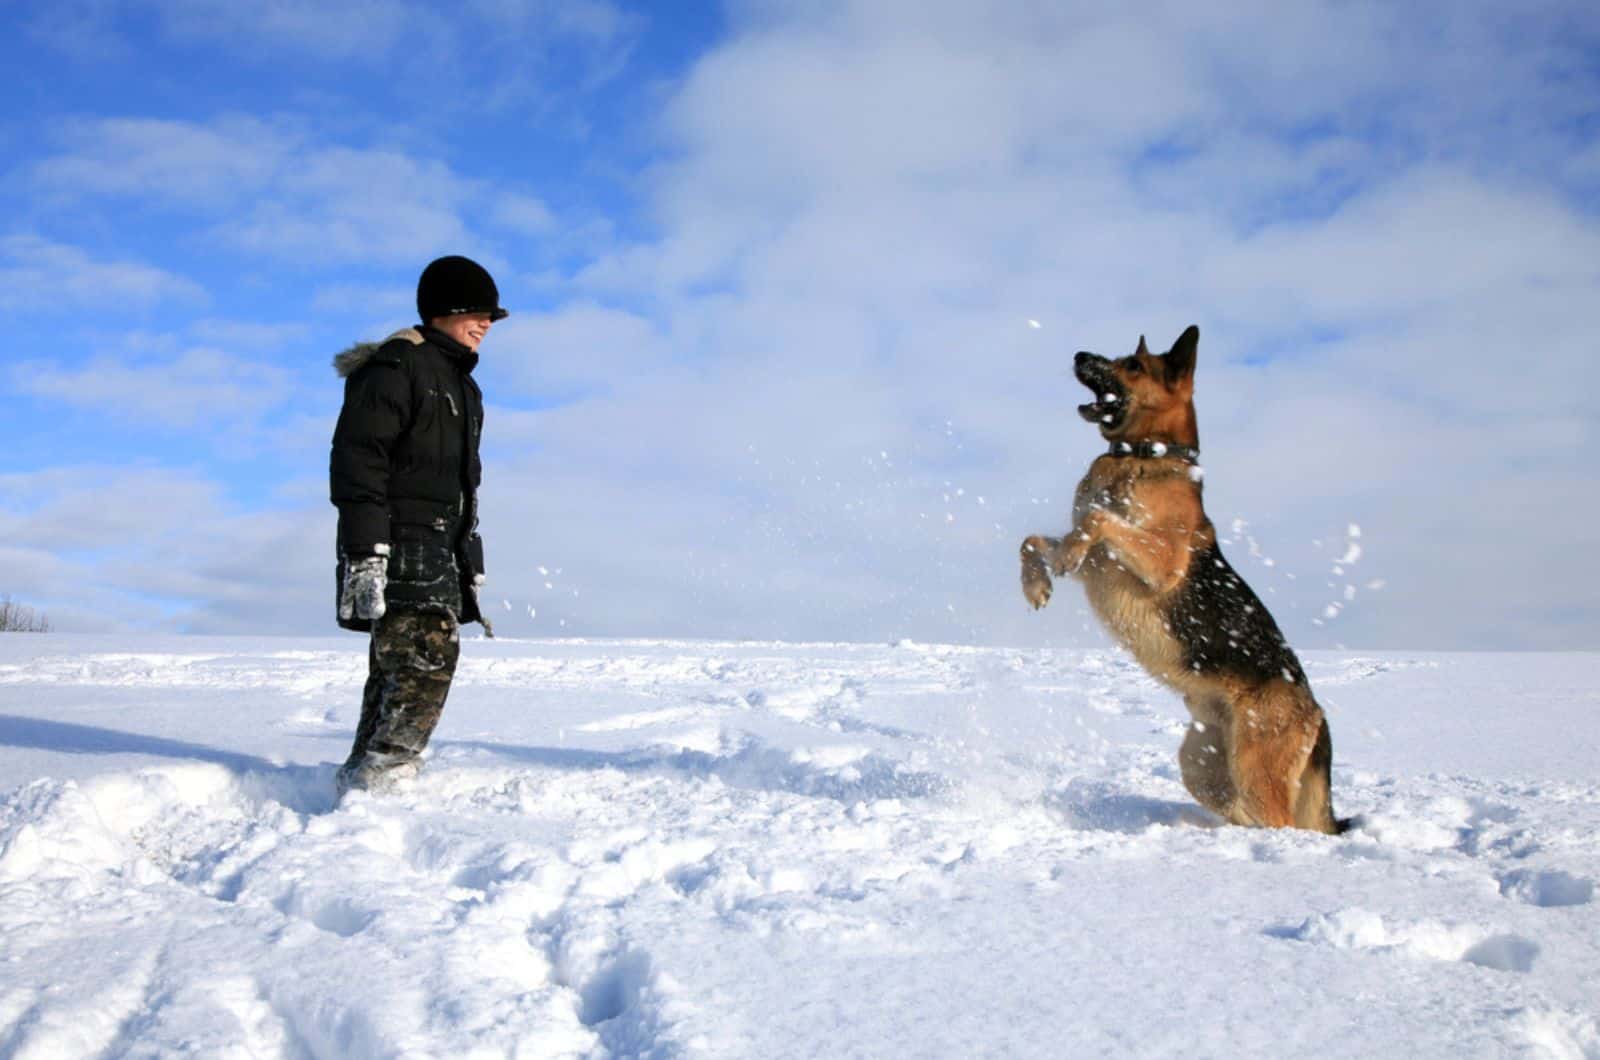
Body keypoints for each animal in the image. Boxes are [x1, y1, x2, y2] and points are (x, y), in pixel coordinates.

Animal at [1017, 328, 1344, 832]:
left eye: (1132, 365)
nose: (1078, 354)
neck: (1145, 455)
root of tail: (1318, 712)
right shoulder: (1098, 567)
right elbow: (1034, 540)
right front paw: (1036, 585)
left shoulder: (1160, 563)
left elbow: (1096, 519)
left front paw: (1064, 555)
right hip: (1202, 765)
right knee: (1238, 808)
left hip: (1254, 768)